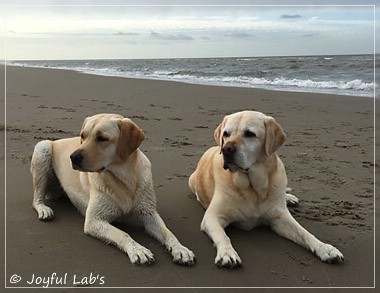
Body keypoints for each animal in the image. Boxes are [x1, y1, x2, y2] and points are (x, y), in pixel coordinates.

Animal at [31, 113, 194, 266]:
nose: (73, 157)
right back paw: (44, 209)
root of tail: (56, 140)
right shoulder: (94, 220)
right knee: (36, 197)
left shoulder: (149, 213)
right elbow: (123, 234)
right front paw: (138, 250)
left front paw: (181, 249)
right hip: (42, 148)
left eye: (102, 138)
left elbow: (168, 233)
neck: (124, 178)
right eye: (83, 136)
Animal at [190, 109, 344, 266]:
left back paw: (289, 198)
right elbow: (223, 236)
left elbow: (304, 233)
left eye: (250, 134)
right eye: (226, 134)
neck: (253, 188)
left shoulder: (280, 218)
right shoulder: (212, 217)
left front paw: (325, 248)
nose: (226, 149)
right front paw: (227, 253)